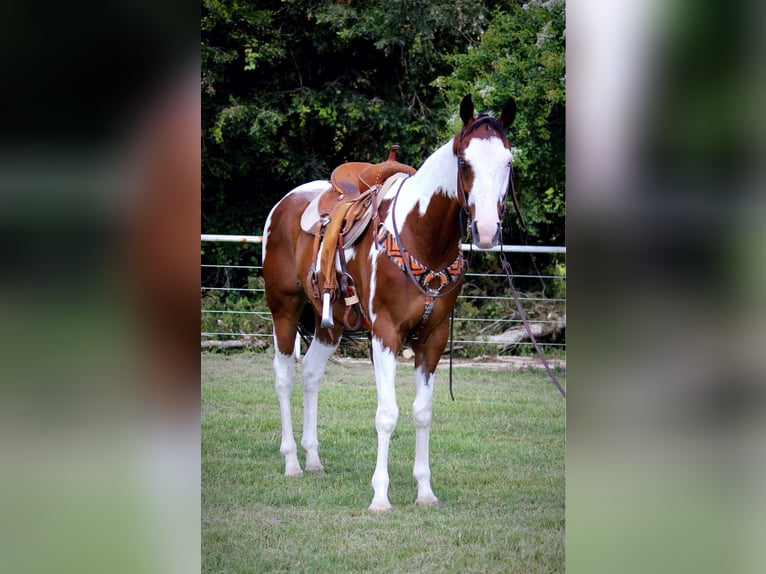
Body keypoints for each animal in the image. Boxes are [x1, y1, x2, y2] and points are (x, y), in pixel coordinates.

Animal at [262, 94, 517, 512]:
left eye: (508, 162)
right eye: (464, 162)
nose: (485, 230)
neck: (421, 238)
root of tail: (285, 203)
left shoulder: (432, 339)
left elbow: (422, 413)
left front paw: (425, 491)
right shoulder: (385, 333)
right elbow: (387, 414)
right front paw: (380, 496)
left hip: (330, 323)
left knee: (312, 375)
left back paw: (313, 459)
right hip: (284, 308)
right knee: (284, 377)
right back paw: (292, 463)